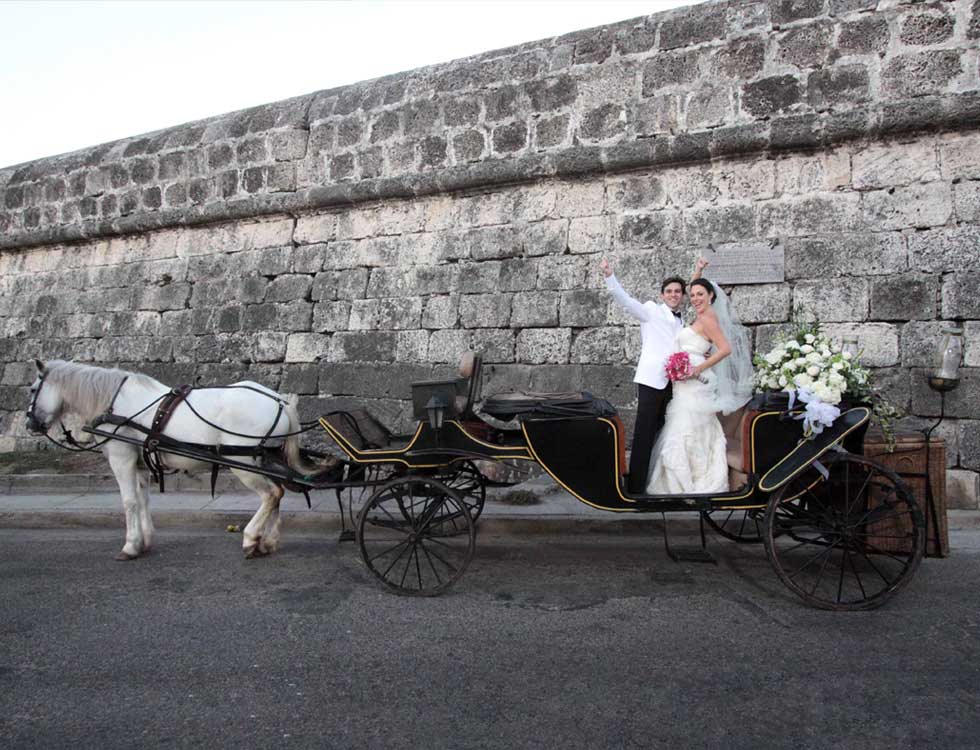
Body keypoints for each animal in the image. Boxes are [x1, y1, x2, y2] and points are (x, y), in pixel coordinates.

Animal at [25, 359, 318, 561]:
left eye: (32, 389)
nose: (30, 424)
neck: (114, 403)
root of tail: (281, 401)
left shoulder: (121, 457)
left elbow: (129, 501)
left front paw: (130, 545)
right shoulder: (140, 463)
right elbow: (143, 499)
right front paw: (144, 541)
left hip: (243, 463)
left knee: (271, 494)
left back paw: (250, 537)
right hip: (260, 459)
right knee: (277, 492)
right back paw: (267, 541)